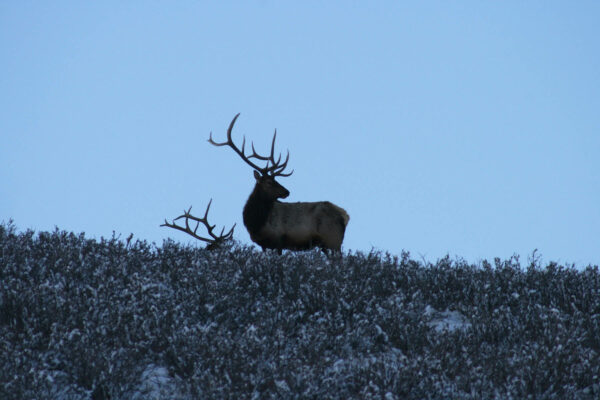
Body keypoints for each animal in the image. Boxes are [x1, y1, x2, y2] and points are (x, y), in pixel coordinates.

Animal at [209, 112, 350, 253]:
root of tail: (345, 216)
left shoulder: (278, 240)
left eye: (275, 180)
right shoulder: (263, 245)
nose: (287, 192)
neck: (256, 224)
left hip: (333, 239)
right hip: (326, 244)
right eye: (269, 182)